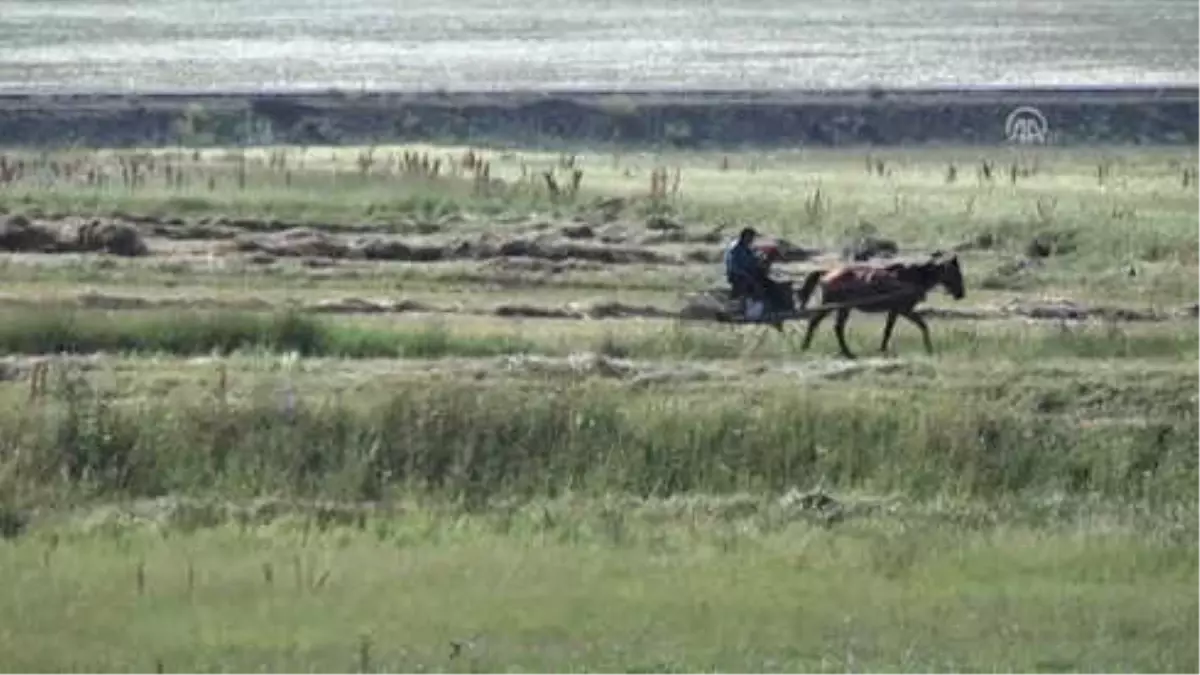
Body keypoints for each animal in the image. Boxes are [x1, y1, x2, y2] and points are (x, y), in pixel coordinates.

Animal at [792, 251, 969, 357]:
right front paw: (929, 349)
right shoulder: (904, 310)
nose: (961, 294)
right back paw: (809, 347)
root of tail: (827, 272)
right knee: (818, 323)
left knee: (836, 327)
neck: (911, 278)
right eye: (956, 273)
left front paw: (882, 348)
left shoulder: (894, 311)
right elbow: (923, 326)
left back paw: (845, 352)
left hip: (843, 307)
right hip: (835, 306)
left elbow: (887, 330)